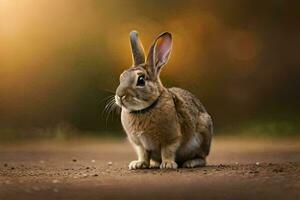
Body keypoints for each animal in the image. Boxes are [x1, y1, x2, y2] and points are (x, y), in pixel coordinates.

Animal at [115, 30, 213, 170]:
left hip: (203, 134)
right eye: (121, 77)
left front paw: (168, 164)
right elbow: (143, 154)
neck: (145, 109)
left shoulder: (171, 138)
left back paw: (190, 163)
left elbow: (167, 151)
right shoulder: (140, 144)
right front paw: (138, 164)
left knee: (202, 158)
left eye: (141, 80)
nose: (119, 95)